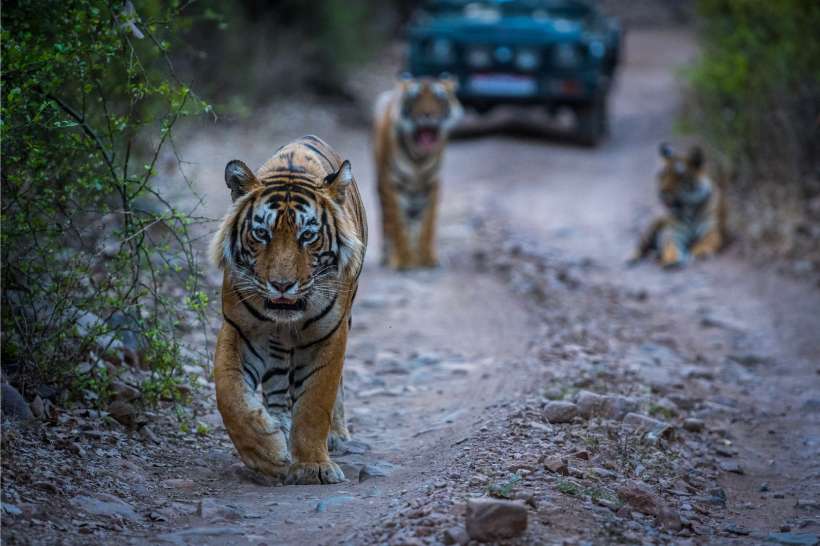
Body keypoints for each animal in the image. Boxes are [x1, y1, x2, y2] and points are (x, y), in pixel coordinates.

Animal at [210, 135, 367, 484]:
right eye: (261, 234)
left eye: (307, 236)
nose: (282, 285)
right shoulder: (240, 329)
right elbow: (229, 396)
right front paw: (267, 454)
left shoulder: (329, 335)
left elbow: (315, 402)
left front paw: (312, 467)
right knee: (278, 382)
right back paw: (279, 426)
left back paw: (335, 435)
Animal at [373, 75, 462, 269]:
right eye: (415, 99)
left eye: (438, 98)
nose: (428, 115)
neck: (418, 159)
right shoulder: (392, 183)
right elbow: (398, 223)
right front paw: (404, 260)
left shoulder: (432, 184)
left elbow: (427, 224)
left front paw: (426, 258)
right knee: (387, 222)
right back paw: (388, 256)